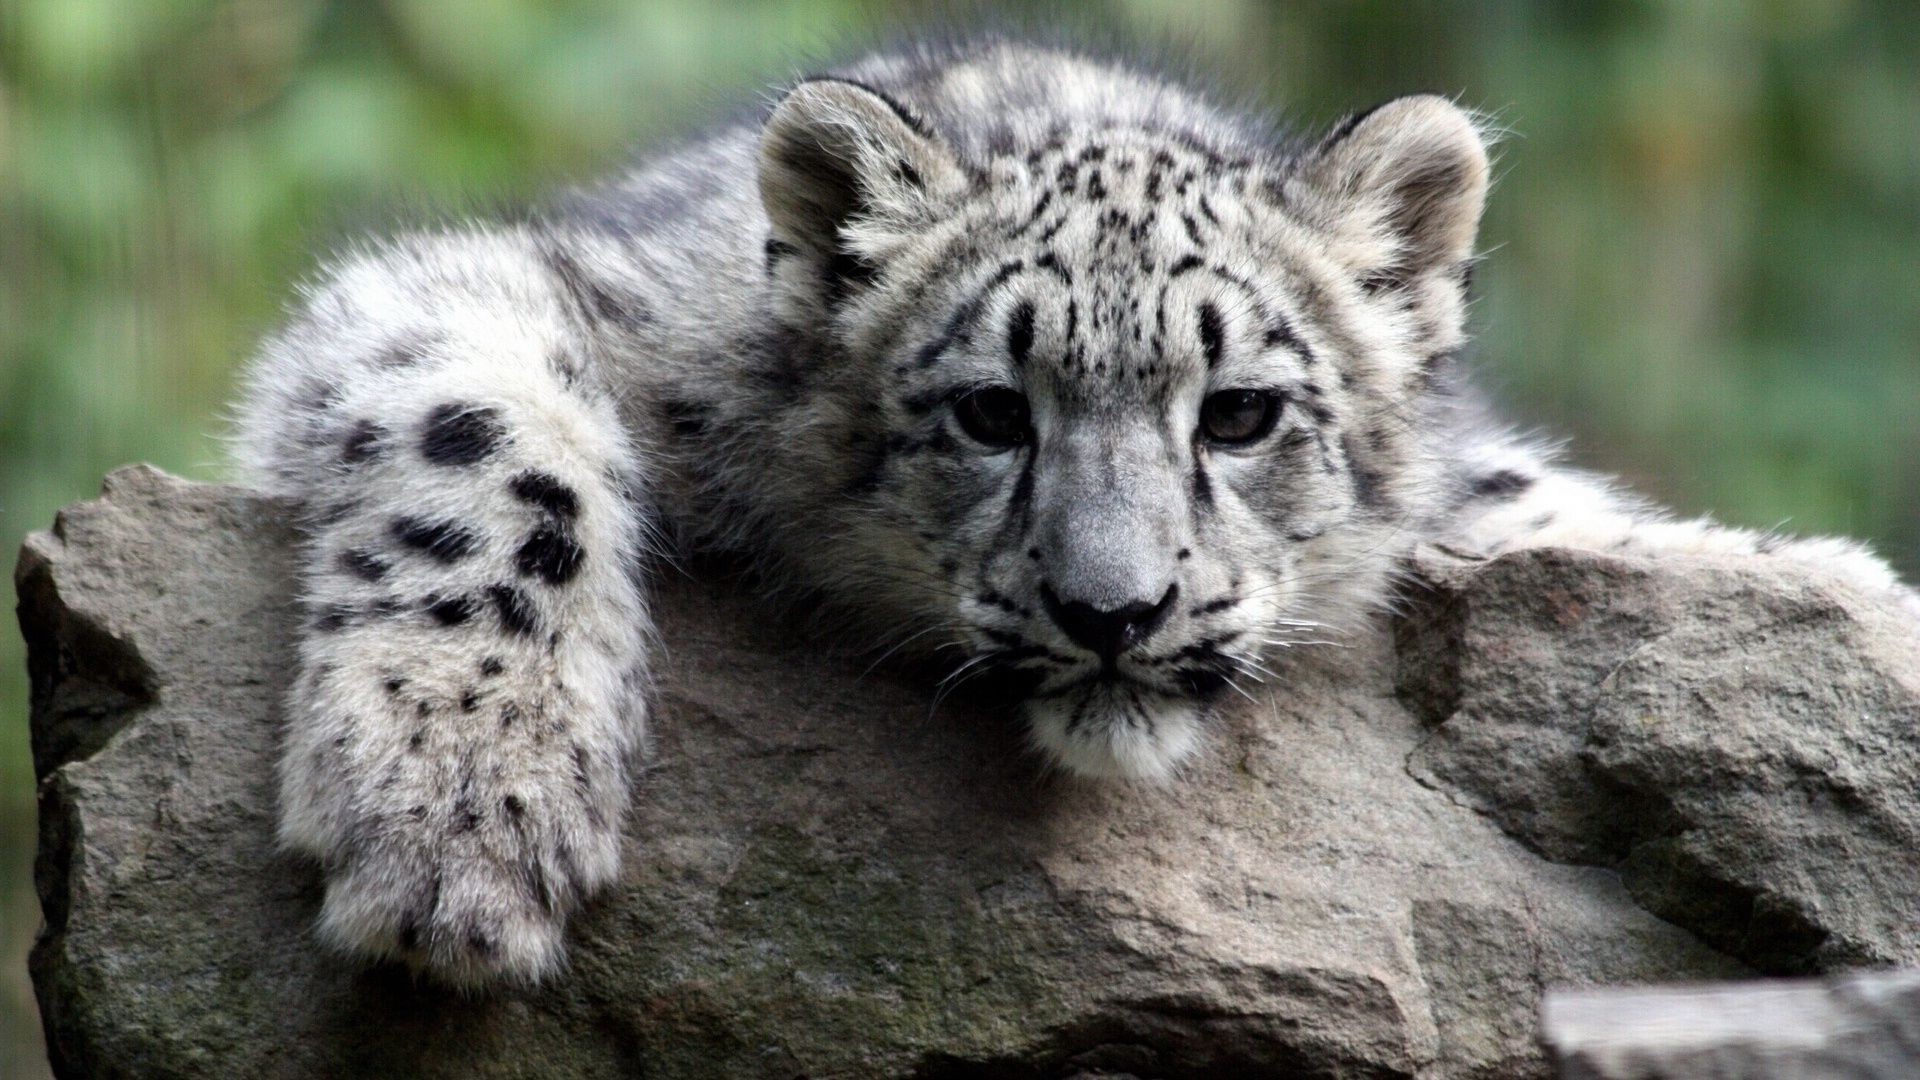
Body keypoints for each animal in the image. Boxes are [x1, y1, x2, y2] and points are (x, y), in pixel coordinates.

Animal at [232, 39, 1912, 983]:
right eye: (991, 410)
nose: (1115, 611)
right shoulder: (498, 294)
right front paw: (460, 817)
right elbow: (486, 442)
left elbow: (1548, 511)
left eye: (1240, 414)